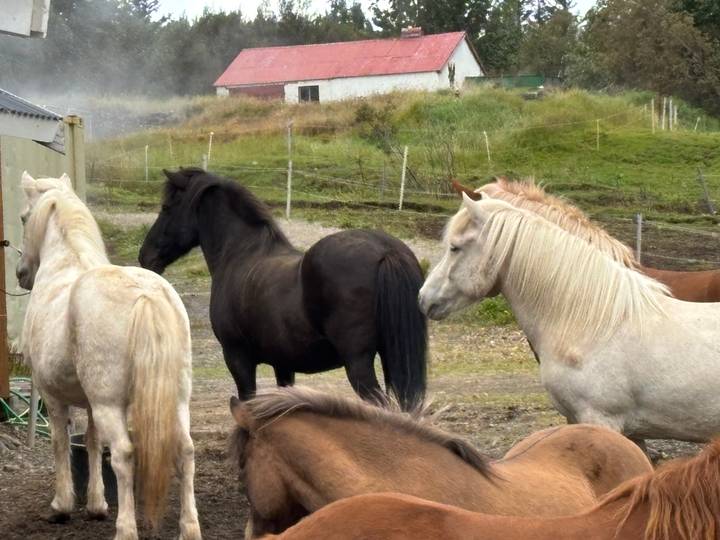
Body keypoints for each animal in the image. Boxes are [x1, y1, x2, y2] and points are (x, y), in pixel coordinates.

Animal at [16, 173, 200, 540]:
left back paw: (126, 529)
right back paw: (189, 528)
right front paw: (97, 505)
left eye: (24, 218)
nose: (21, 274)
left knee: (124, 455)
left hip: (109, 405)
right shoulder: (89, 403)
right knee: (185, 451)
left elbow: (60, 443)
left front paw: (62, 506)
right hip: (176, 400)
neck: (66, 263)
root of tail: (145, 294)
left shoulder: (53, 396)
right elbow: (90, 442)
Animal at [138, 168, 427, 410]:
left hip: (358, 363)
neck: (240, 254)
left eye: (166, 207)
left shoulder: (238, 358)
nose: (145, 257)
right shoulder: (283, 364)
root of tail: (386, 251)